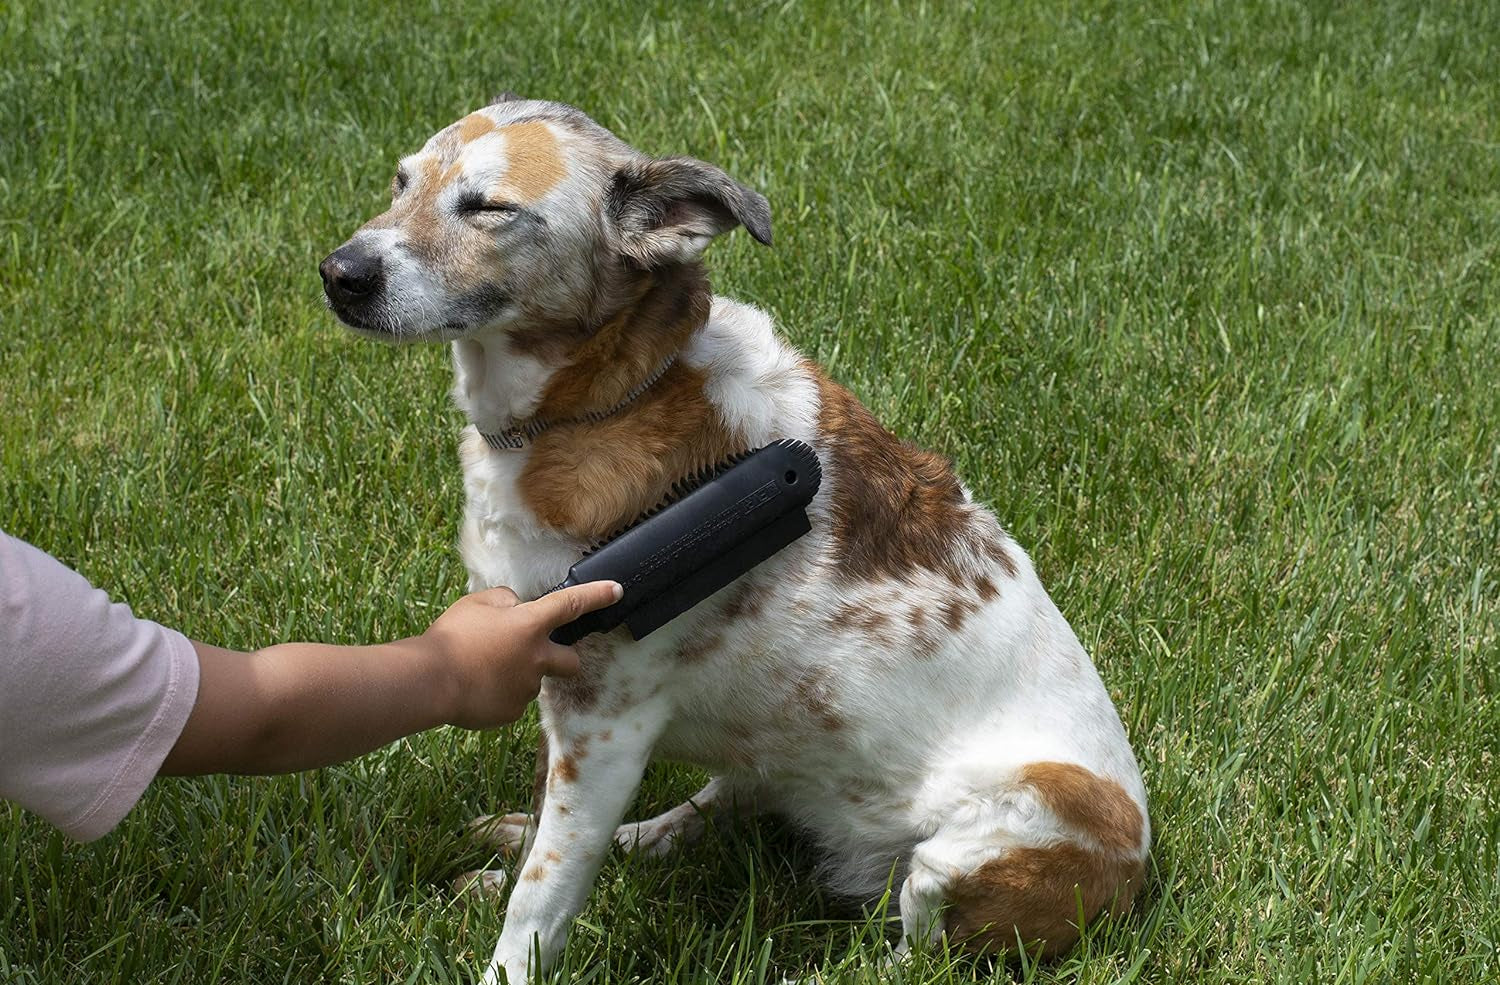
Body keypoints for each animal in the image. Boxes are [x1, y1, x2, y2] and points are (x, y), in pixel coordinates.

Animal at [322, 94, 1152, 983]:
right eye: (401, 181)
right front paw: (520, 854)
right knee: (714, 803)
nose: (339, 273)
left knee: (913, 953)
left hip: (978, 848)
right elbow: (548, 824)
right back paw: (638, 837)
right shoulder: (556, 688)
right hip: (779, 759)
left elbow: (543, 894)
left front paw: (509, 960)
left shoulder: (604, 718)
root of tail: (1138, 870)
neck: (603, 399)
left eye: (490, 208)